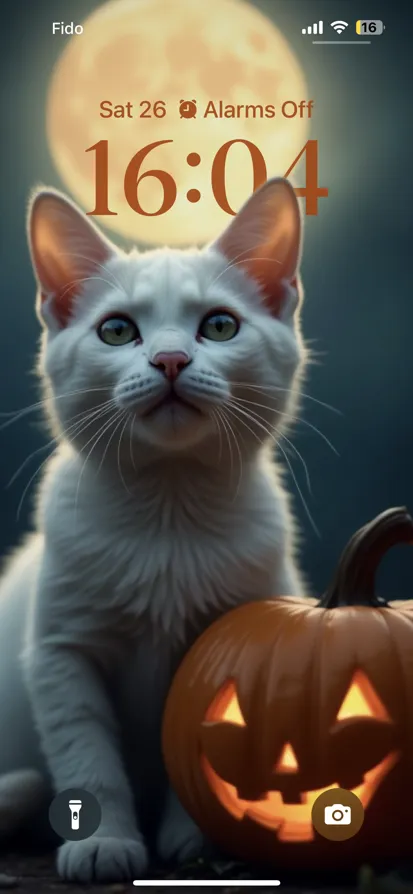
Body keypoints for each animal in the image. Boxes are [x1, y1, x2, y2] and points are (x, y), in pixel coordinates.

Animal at [0, 177, 306, 880]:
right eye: (116, 330)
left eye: (219, 325)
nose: (170, 359)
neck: (168, 516)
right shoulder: (61, 654)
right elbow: (89, 759)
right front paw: (102, 841)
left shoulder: (229, 644)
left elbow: (201, 748)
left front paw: (194, 840)